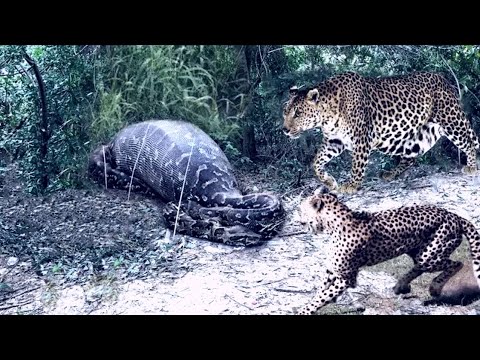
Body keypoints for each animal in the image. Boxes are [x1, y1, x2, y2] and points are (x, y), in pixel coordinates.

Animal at [284, 71, 478, 193]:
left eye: (298, 113)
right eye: (285, 112)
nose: (285, 130)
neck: (327, 116)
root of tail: (443, 79)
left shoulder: (361, 138)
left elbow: (357, 164)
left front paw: (352, 185)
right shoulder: (334, 140)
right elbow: (316, 162)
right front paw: (330, 182)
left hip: (450, 120)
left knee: (468, 142)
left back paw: (472, 166)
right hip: (411, 136)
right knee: (411, 155)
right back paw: (391, 173)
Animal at [294, 188, 480, 316]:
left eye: (301, 208)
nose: (296, 218)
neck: (332, 224)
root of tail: (453, 215)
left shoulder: (346, 277)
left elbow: (321, 297)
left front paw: (305, 310)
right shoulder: (332, 270)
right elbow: (320, 291)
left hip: (429, 255)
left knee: (456, 263)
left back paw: (434, 287)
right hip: (419, 251)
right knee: (419, 266)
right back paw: (401, 286)